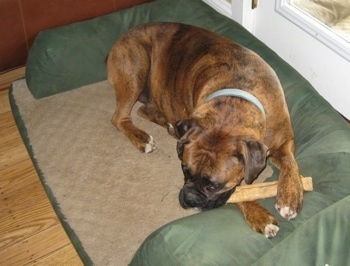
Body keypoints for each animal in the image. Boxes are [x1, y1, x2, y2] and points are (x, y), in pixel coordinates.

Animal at [106, 22, 304, 237]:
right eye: (185, 170)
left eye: (214, 185)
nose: (190, 199)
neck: (237, 97)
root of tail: (125, 35)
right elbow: (239, 194)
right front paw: (259, 215)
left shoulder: (283, 140)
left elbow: (290, 162)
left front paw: (291, 195)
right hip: (137, 67)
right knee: (119, 118)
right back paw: (142, 137)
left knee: (143, 110)